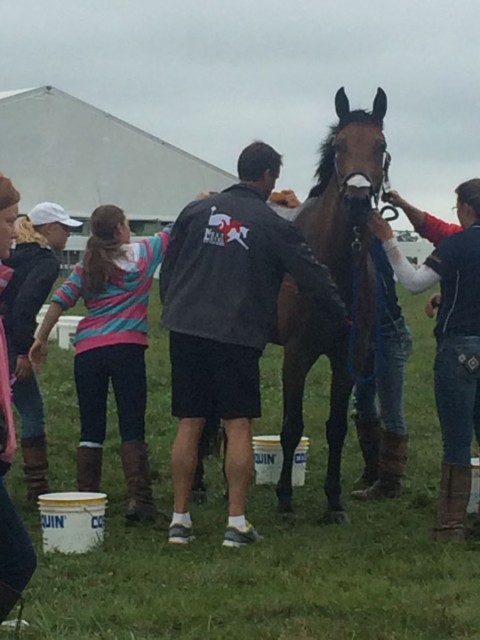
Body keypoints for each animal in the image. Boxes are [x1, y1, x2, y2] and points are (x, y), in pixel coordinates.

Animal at [276, 87, 392, 524]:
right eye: (340, 145)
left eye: (381, 146)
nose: (357, 201)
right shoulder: (296, 354)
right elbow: (291, 426)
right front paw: (284, 500)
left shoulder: (348, 359)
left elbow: (337, 427)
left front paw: (333, 501)